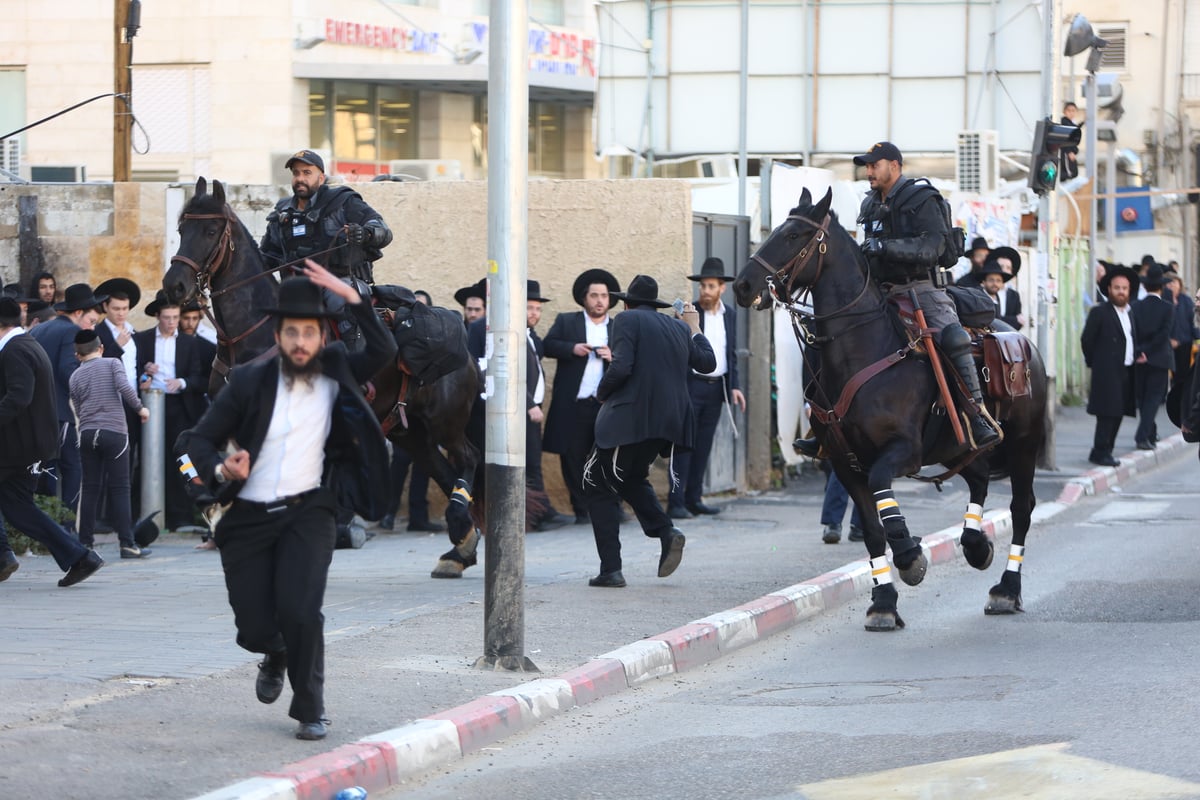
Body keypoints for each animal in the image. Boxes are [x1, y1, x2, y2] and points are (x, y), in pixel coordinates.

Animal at [165, 179, 482, 582]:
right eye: (180, 230)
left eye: (209, 231)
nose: (174, 286)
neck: (255, 336)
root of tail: (466, 350)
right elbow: (185, 442)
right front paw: (212, 504)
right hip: (408, 432)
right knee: (442, 471)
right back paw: (459, 547)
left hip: (445, 423)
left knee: (468, 459)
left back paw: (459, 531)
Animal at [724, 189, 1046, 633]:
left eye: (792, 235)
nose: (743, 284)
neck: (863, 348)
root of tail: (1023, 341)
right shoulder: (844, 462)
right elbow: (874, 532)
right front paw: (883, 602)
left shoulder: (902, 451)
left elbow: (884, 497)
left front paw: (910, 556)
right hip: (958, 446)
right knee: (980, 479)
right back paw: (975, 544)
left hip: (1022, 445)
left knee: (1021, 508)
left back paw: (1007, 589)